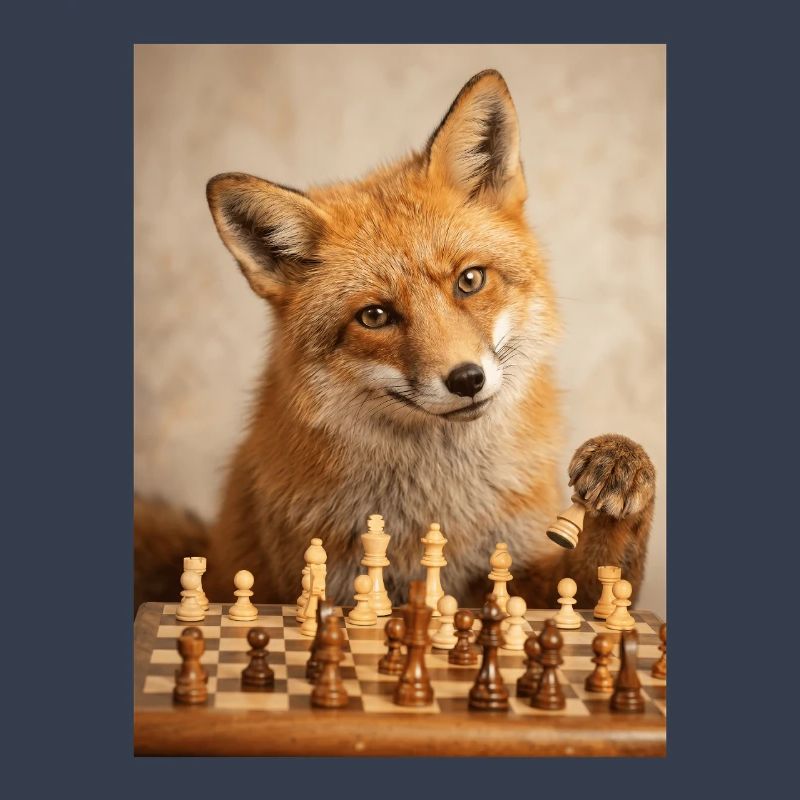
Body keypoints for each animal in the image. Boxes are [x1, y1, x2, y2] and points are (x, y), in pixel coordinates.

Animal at [134, 69, 656, 612]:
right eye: (375, 316)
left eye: (470, 280)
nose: (466, 380)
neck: (437, 507)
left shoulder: (518, 573)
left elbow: (603, 582)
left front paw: (620, 467)